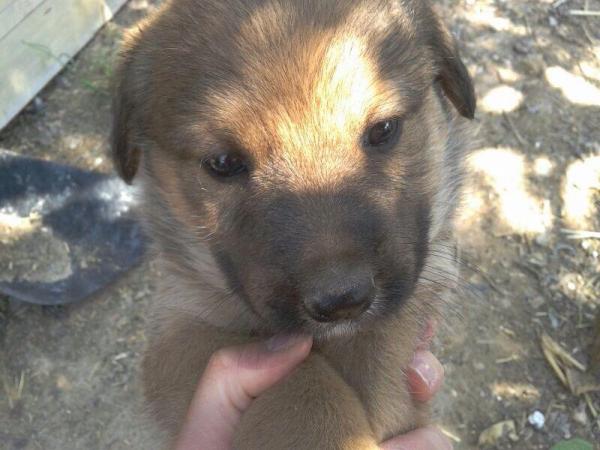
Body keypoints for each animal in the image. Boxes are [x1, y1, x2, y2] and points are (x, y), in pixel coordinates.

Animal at [113, 1, 474, 448]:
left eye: (384, 129)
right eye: (222, 162)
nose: (341, 300)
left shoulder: (412, 301)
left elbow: (376, 351)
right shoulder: (178, 328)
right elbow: (303, 388)